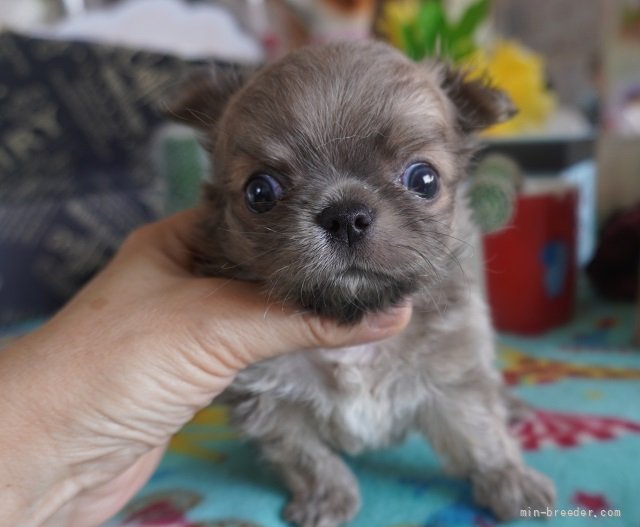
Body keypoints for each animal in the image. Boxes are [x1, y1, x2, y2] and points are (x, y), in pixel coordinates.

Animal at [170, 41, 556, 527]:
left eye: (424, 179)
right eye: (260, 192)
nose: (346, 215)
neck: (353, 325)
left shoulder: (452, 379)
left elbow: (481, 437)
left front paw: (512, 481)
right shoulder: (271, 403)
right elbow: (307, 458)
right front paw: (326, 497)